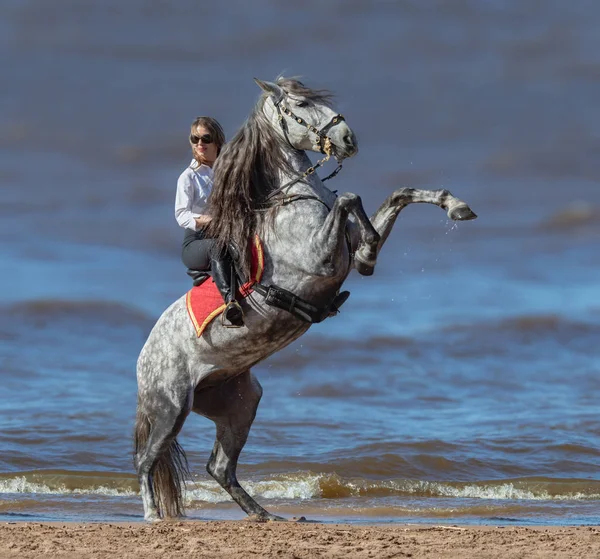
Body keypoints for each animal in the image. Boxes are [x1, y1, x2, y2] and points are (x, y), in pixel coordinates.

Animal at [134, 76, 476, 524]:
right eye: (297, 105)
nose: (348, 138)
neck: (295, 197)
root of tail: (143, 359)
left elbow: (397, 195)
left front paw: (454, 207)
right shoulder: (319, 257)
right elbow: (350, 198)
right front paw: (369, 251)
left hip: (239, 403)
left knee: (219, 466)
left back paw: (266, 515)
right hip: (171, 408)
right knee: (146, 460)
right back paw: (153, 515)